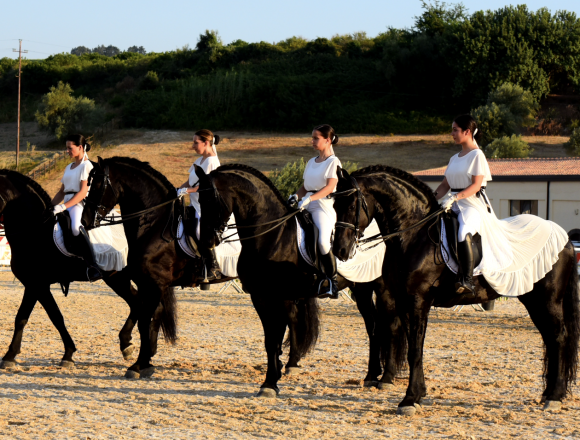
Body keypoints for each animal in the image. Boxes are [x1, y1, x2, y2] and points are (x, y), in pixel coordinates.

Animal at [0, 168, 174, 368]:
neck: (35, 231)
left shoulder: (35, 284)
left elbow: (25, 317)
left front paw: (10, 355)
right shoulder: (38, 286)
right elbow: (54, 316)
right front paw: (68, 353)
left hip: (125, 278)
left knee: (145, 305)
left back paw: (140, 349)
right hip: (118, 278)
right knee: (141, 303)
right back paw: (133, 346)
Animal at [193, 163, 406, 398]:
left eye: (211, 199)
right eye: (199, 199)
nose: (206, 240)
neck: (271, 235)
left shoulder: (282, 295)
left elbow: (277, 335)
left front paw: (270, 383)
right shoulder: (260, 296)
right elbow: (271, 340)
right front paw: (273, 378)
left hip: (383, 287)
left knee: (392, 325)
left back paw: (386, 378)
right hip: (361, 288)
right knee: (373, 326)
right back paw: (370, 376)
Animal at [334, 166, 576, 416]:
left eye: (351, 205)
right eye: (334, 206)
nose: (339, 250)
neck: (413, 235)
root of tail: (565, 238)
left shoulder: (418, 300)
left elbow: (415, 349)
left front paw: (410, 399)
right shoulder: (402, 300)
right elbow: (412, 346)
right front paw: (418, 394)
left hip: (548, 299)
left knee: (559, 337)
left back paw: (555, 397)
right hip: (532, 300)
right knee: (549, 339)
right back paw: (548, 393)